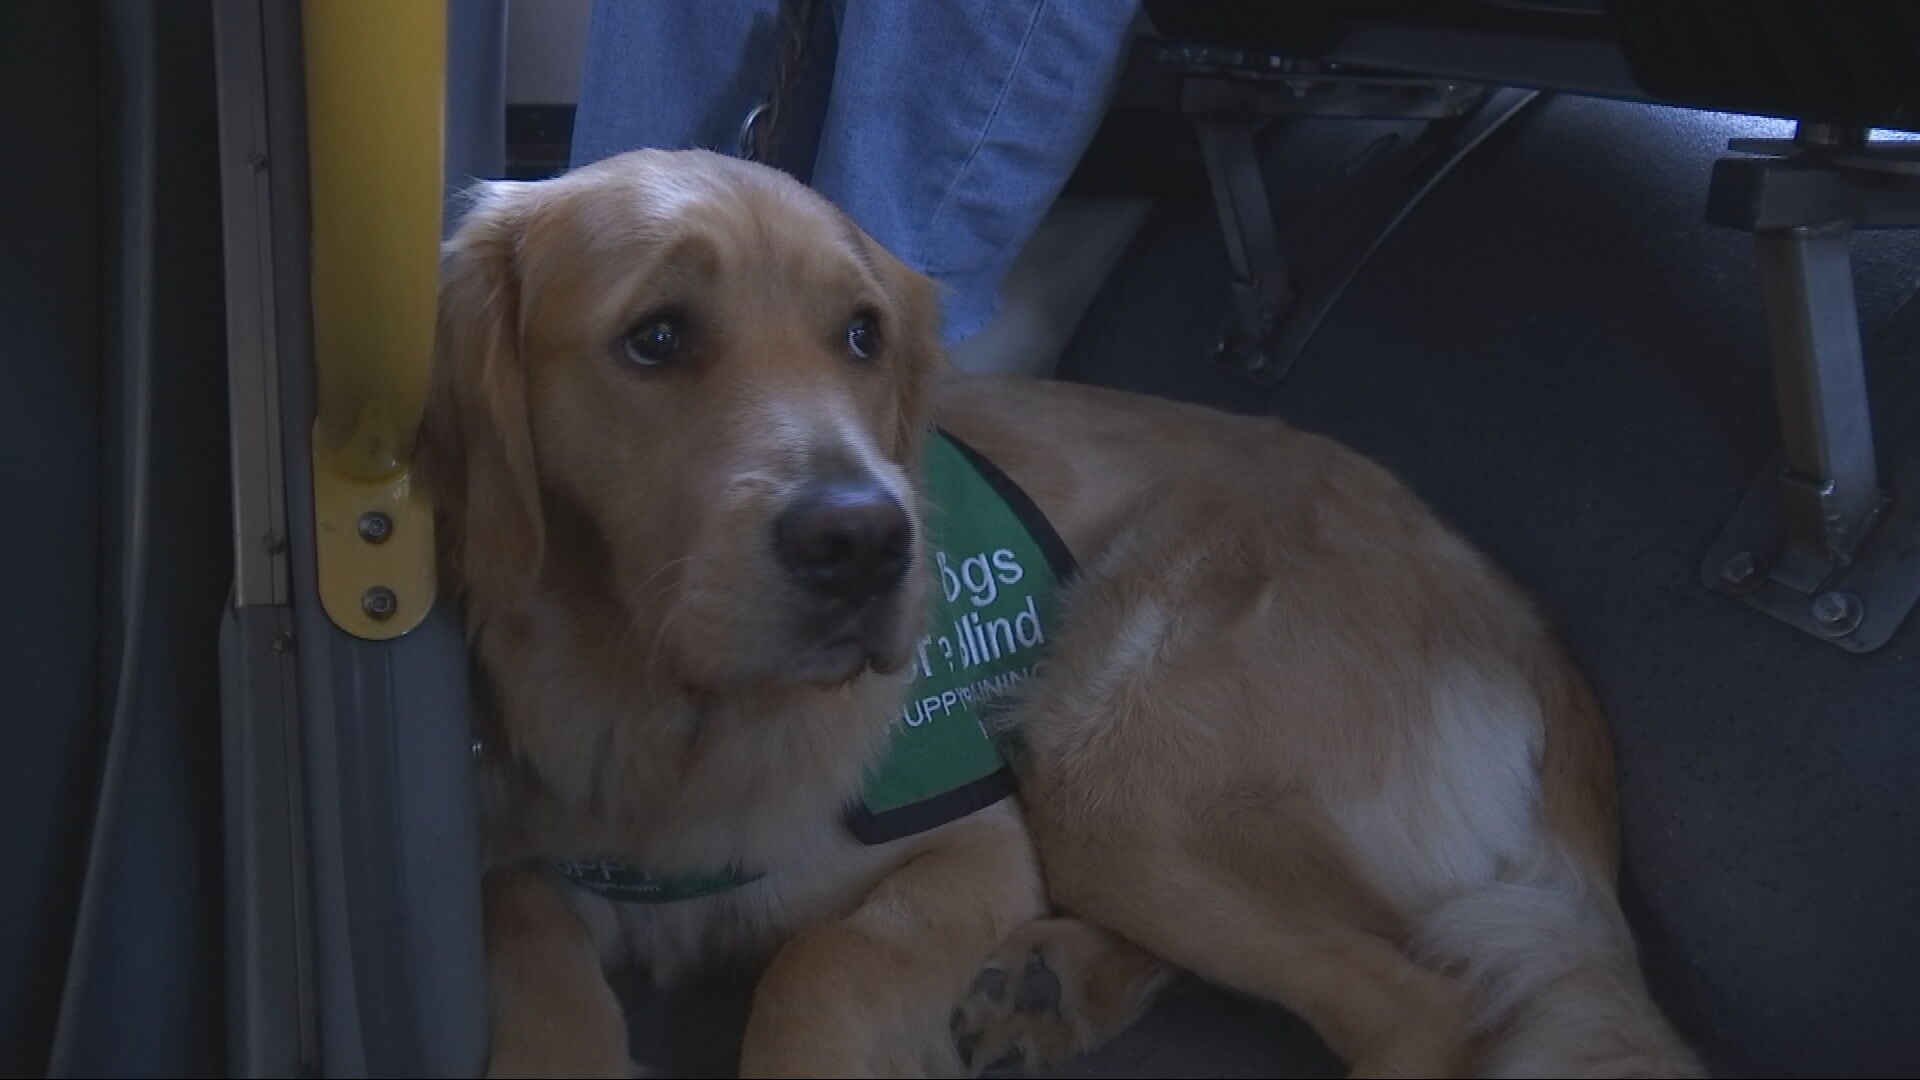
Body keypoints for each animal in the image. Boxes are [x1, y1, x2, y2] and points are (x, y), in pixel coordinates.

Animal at [428, 145, 1704, 1076]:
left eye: (861, 336)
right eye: (655, 338)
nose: (867, 545)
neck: (677, 732)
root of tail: (1515, 611)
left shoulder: (976, 840)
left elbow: (822, 964)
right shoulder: (517, 843)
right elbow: (521, 927)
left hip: (1106, 755)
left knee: (1427, 1007)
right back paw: (1051, 985)